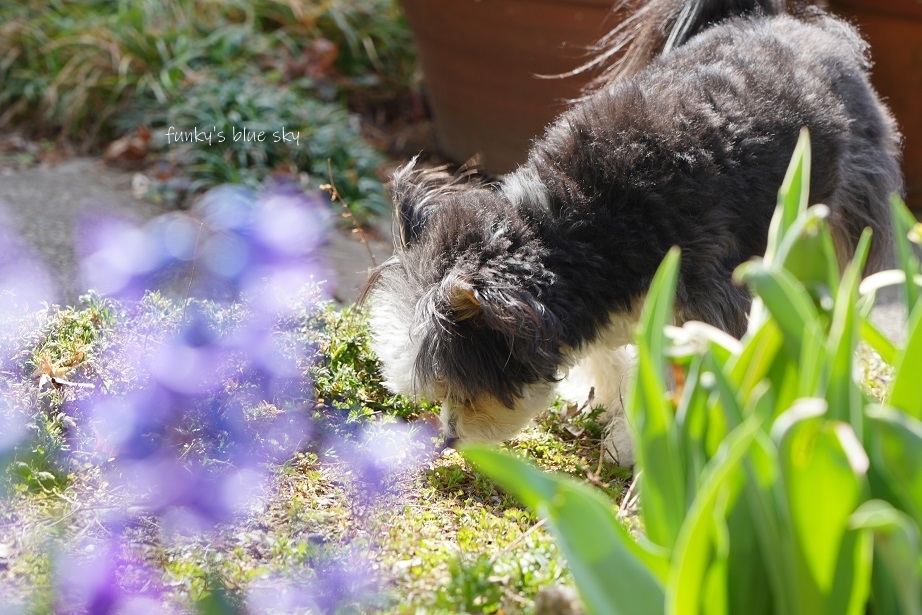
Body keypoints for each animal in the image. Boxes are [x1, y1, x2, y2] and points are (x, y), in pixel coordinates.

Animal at [360, 0, 900, 464]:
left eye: (465, 392)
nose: (448, 440)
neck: (573, 230)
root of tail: (787, 20)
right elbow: (612, 358)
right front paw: (604, 402)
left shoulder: (702, 302)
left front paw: (641, 446)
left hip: (841, 216)